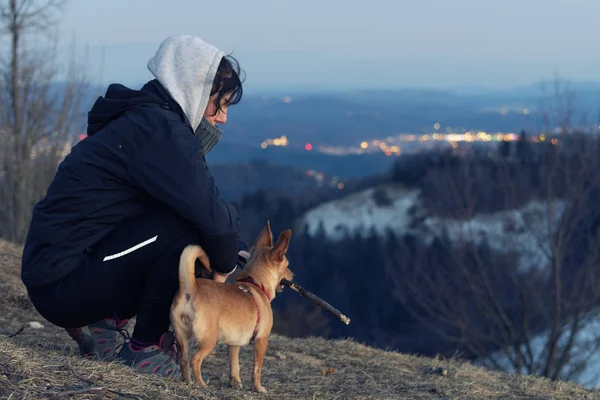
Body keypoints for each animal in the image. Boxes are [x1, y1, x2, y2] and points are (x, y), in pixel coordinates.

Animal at [170, 222, 294, 394]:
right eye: (287, 266)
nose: (292, 276)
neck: (255, 284)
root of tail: (192, 287)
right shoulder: (262, 340)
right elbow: (257, 369)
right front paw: (258, 388)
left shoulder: (234, 343)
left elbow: (234, 365)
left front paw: (235, 382)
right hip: (209, 340)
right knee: (195, 360)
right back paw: (201, 384)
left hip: (182, 337)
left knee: (184, 361)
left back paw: (187, 381)